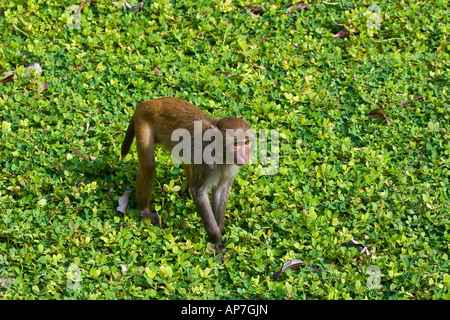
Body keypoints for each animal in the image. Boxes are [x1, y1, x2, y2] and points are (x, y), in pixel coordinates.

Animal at [121, 96, 255, 251]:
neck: (221, 155)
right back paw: (144, 212)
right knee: (148, 166)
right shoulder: (207, 162)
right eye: (235, 144)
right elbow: (199, 191)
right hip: (143, 122)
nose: (244, 156)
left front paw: (219, 232)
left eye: (246, 142)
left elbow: (220, 190)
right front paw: (215, 240)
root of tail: (147, 103)